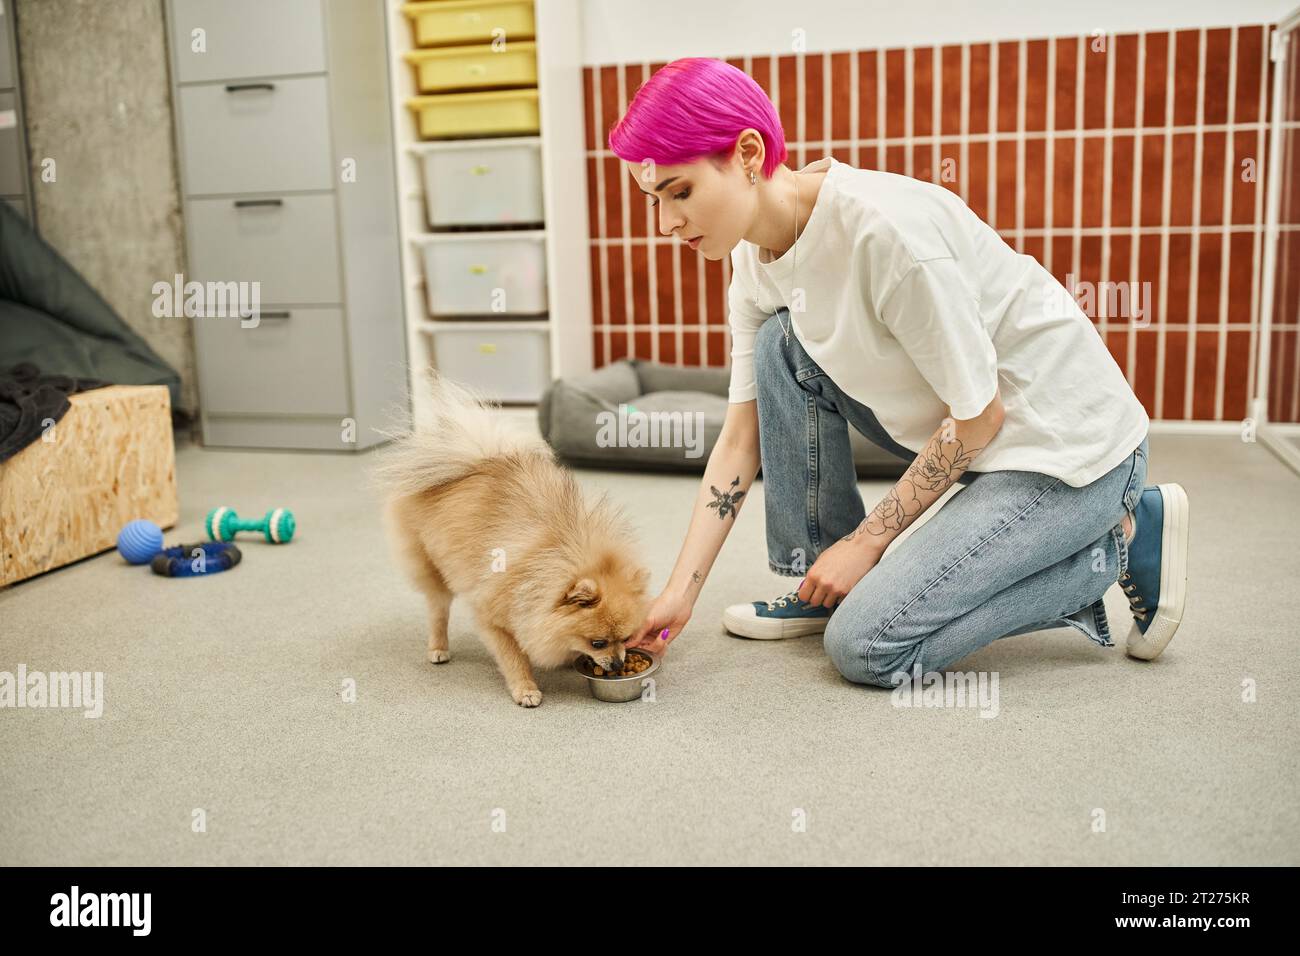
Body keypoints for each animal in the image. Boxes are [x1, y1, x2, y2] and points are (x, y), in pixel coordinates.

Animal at [374, 369, 655, 707]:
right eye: (598, 642)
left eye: (625, 638)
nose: (616, 665)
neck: (560, 547)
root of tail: (472, 460)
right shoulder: (493, 615)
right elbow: (512, 656)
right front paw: (526, 688)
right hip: (431, 565)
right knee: (438, 609)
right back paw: (438, 647)